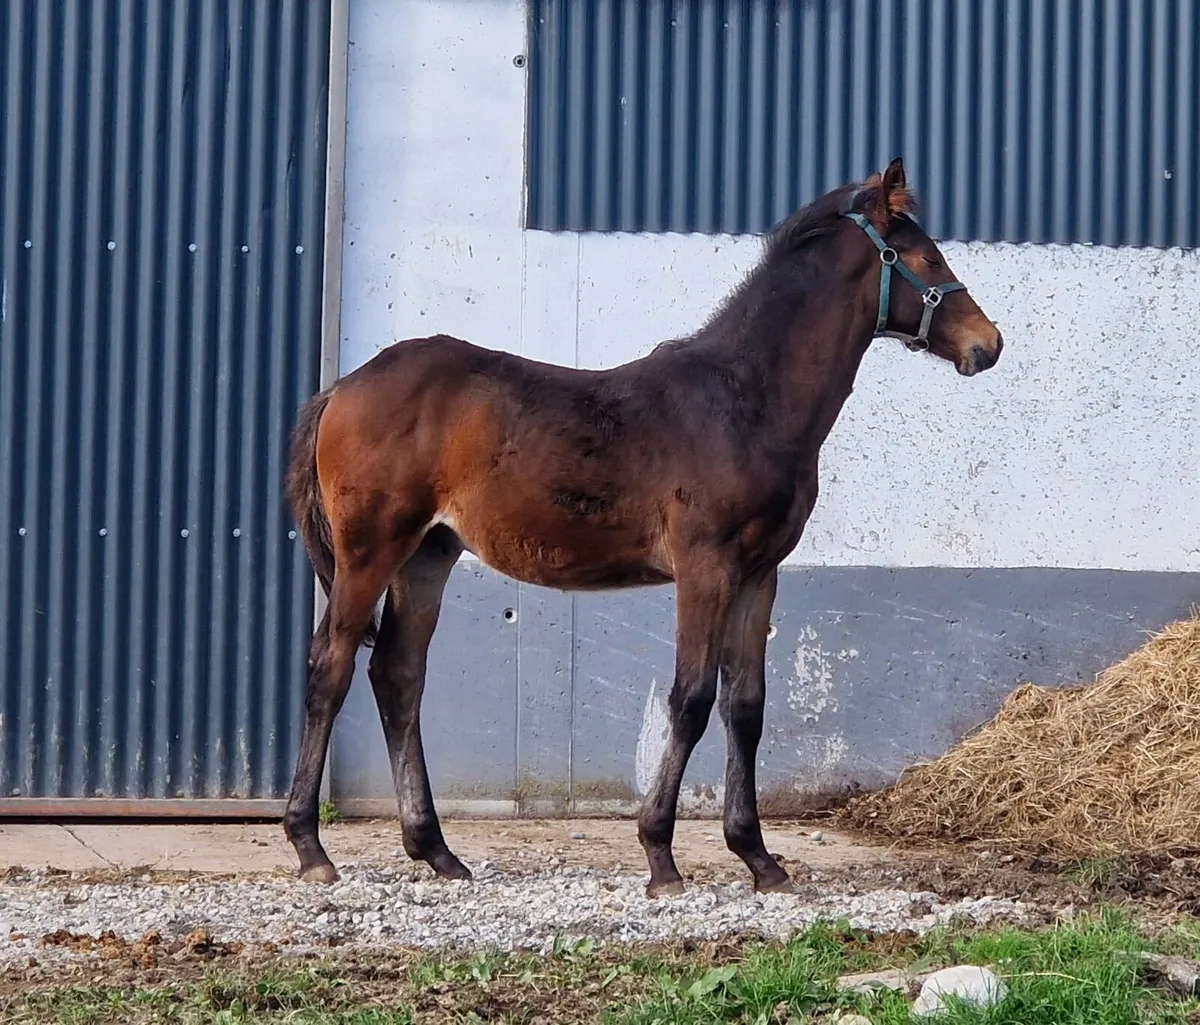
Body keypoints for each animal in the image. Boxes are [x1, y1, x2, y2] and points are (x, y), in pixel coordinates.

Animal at [282, 158, 1003, 897]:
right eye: (925, 257)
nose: (989, 344)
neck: (745, 400)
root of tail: (341, 388)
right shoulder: (705, 566)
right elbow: (690, 698)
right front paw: (661, 857)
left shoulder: (758, 574)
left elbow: (746, 705)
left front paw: (759, 858)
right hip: (370, 551)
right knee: (330, 667)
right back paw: (311, 847)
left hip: (427, 553)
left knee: (398, 675)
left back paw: (436, 850)